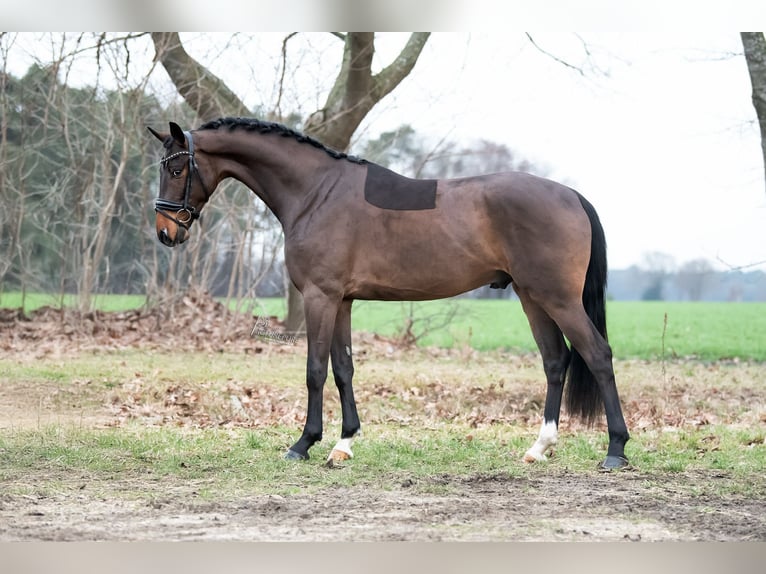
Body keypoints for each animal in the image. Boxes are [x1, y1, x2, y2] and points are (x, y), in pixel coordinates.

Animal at [148, 117, 630, 470]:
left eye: (176, 168)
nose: (166, 232)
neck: (316, 192)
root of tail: (571, 195)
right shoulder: (341, 300)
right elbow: (343, 369)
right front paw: (344, 443)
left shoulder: (320, 297)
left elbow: (315, 371)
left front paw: (304, 443)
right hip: (533, 298)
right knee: (556, 361)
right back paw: (539, 447)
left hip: (557, 298)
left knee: (597, 354)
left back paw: (615, 450)